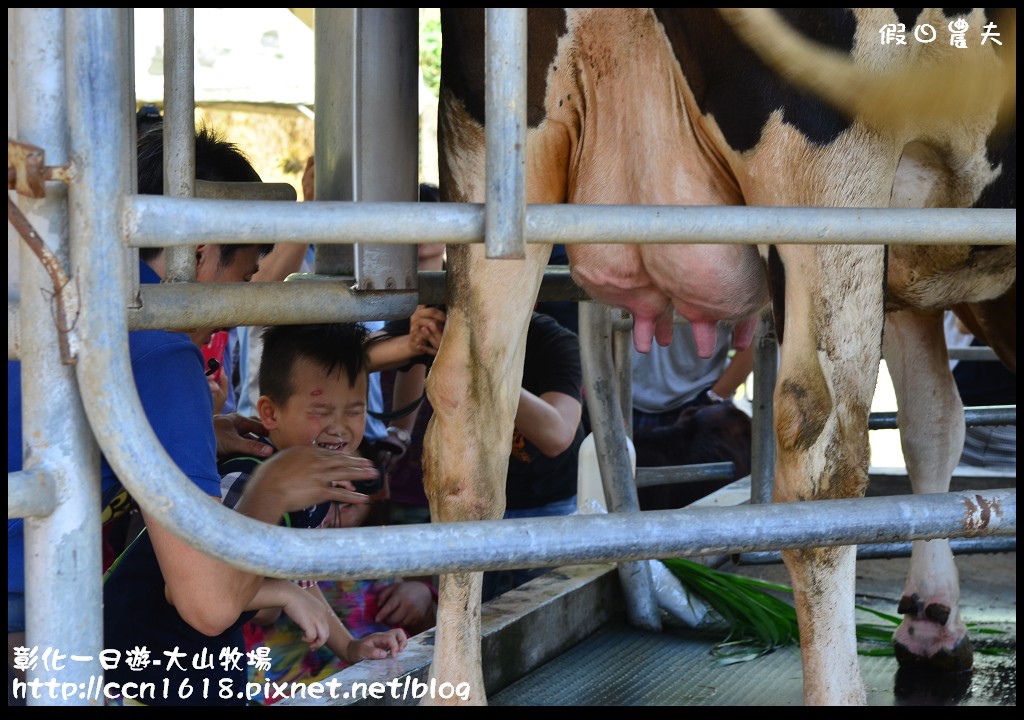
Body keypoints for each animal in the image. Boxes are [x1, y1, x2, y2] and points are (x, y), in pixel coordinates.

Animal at [419, 8, 1011, 708]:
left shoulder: (910, 270)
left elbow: (932, 422)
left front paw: (932, 621)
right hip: (831, 163)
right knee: (821, 451)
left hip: (494, 152)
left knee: (467, 425)